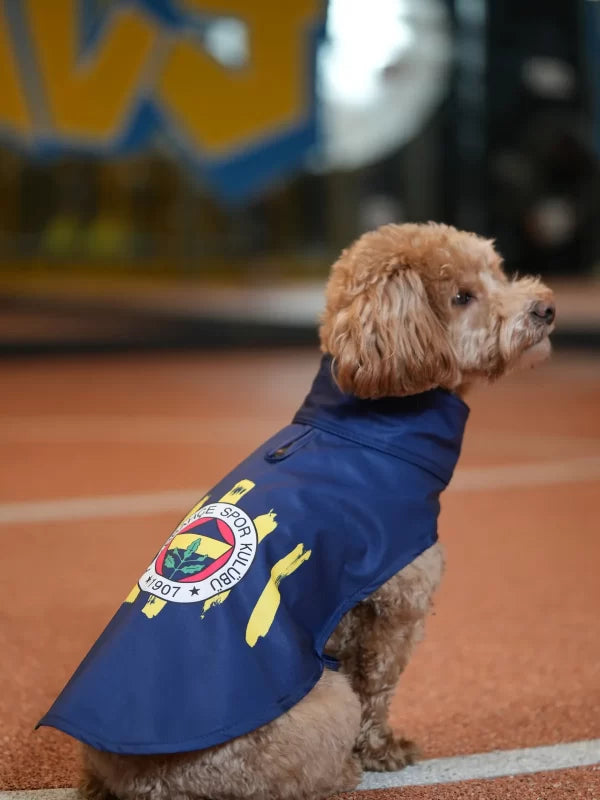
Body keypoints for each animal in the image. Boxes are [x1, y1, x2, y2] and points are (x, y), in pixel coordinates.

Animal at [39, 223, 556, 800]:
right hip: (324, 701)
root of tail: (148, 786)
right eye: (463, 296)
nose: (545, 308)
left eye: (498, 272)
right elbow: (378, 688)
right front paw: (384, 751)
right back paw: (343, 773)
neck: (371, 423)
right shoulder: (398, 604)